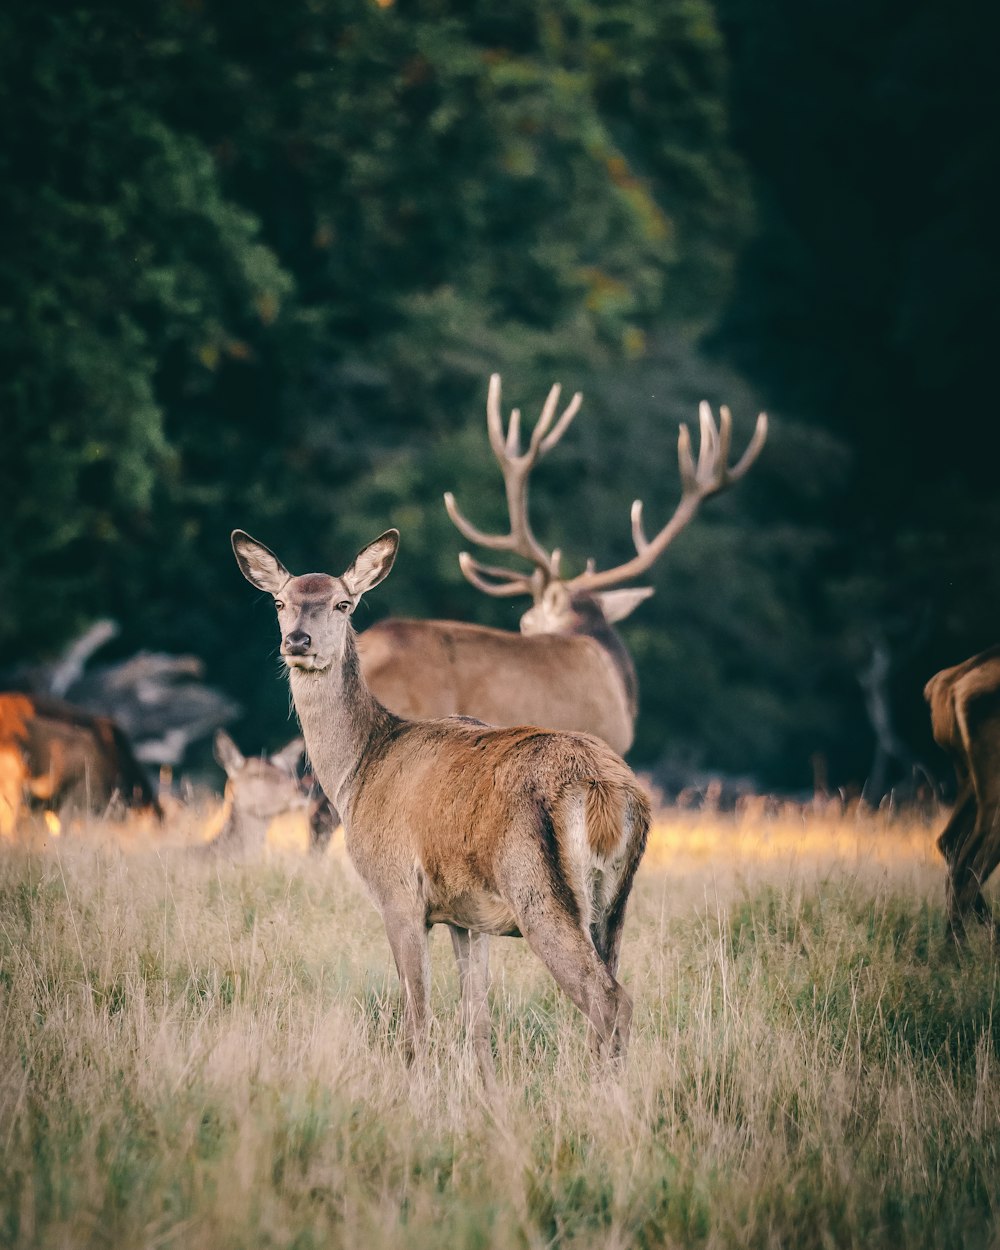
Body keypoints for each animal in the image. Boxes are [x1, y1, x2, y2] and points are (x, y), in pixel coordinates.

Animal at [228, 527, 650, 1075]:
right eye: (280, 601)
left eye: (343, 603)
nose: (297, 640)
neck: (359, 770)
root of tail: (609, 790)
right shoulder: (467, 916)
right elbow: (477, 1021)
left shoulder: (398, 893)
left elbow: (418, 1016)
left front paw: (415, 1081)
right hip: (614, 902)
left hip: (538, 889)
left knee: (609, 999)